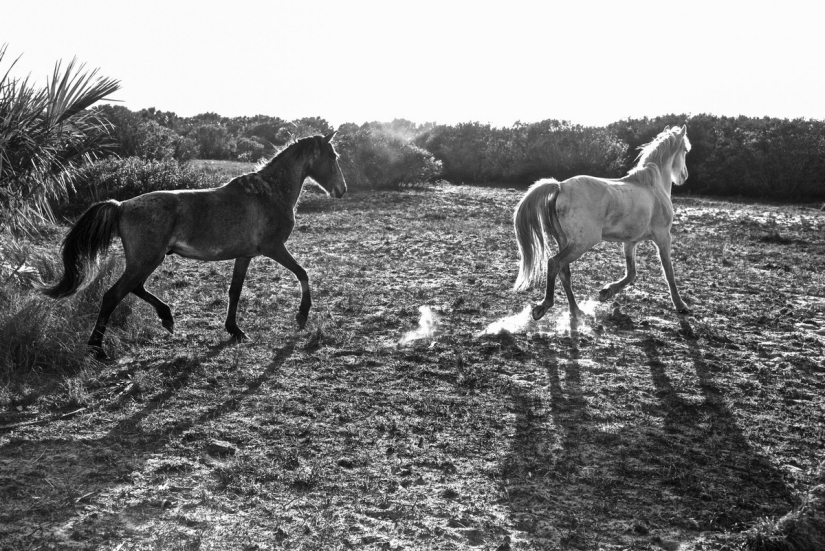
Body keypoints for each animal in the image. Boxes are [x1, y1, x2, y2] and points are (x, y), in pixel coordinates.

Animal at [42, 132, 347, 359]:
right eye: (333, 157)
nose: (341, 190)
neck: (268, 192)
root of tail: (122, 205)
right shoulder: (274, 248)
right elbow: (303, 273)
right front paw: (302, 316)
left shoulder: (244, 255)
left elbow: (235, 291)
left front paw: (234, 330)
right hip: (147, 259)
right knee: (112, 296)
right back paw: (97, 349)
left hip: (146, 260)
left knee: (135, 288)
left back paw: (166, 317)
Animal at [513, 125, 691, 322]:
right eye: (685, 150)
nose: (684, 176)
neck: (653, 186)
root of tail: (560, 186)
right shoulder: (663, 237)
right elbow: (669, 272)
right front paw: (681, 305)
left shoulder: (630, 242)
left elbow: (631, 273)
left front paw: (606, 291)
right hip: (582, 243)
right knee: (553, 263)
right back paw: (543, 307)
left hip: (565, 241)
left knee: (564, 271)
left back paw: (576, 311)